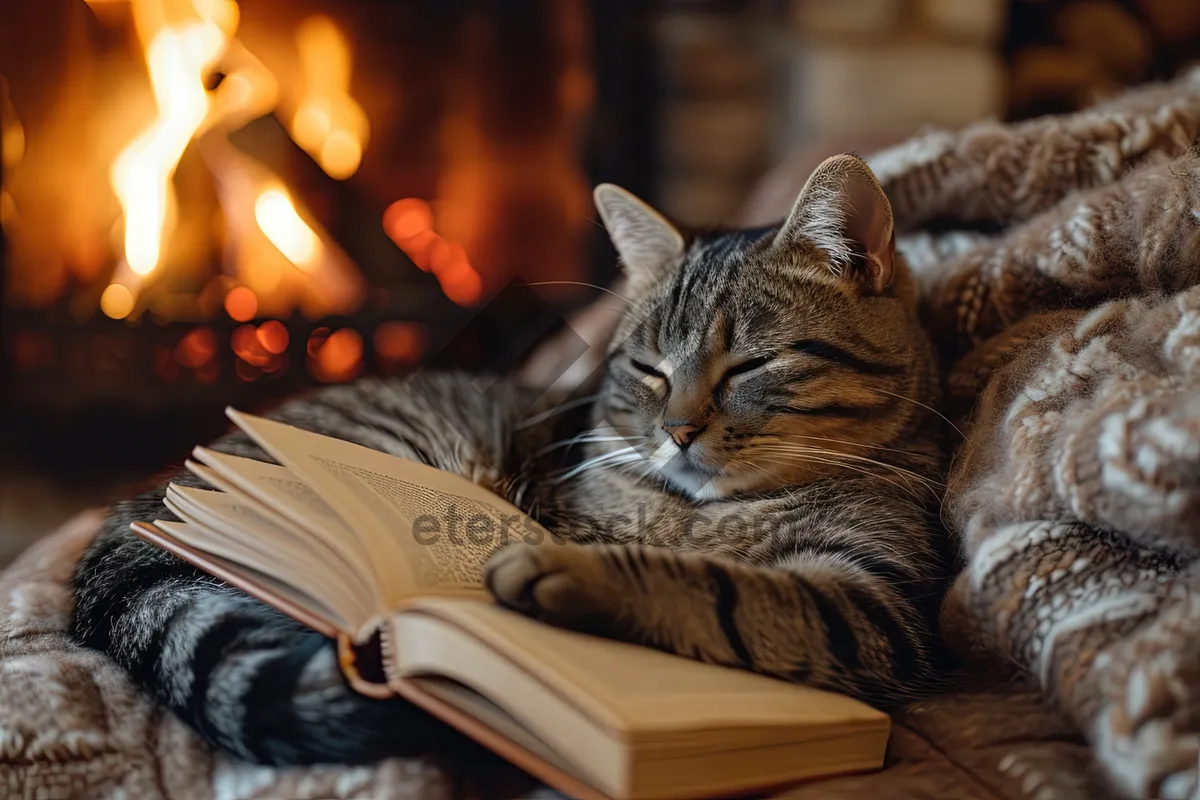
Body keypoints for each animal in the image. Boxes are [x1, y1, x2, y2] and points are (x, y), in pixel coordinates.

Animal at [72, 153, 955, 767]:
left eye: (749, 366)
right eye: (650, 369)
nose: (677, 430)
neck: (709, 513)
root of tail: (150, 497)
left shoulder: (875, 603)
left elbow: (723, 590)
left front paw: (577, 575)